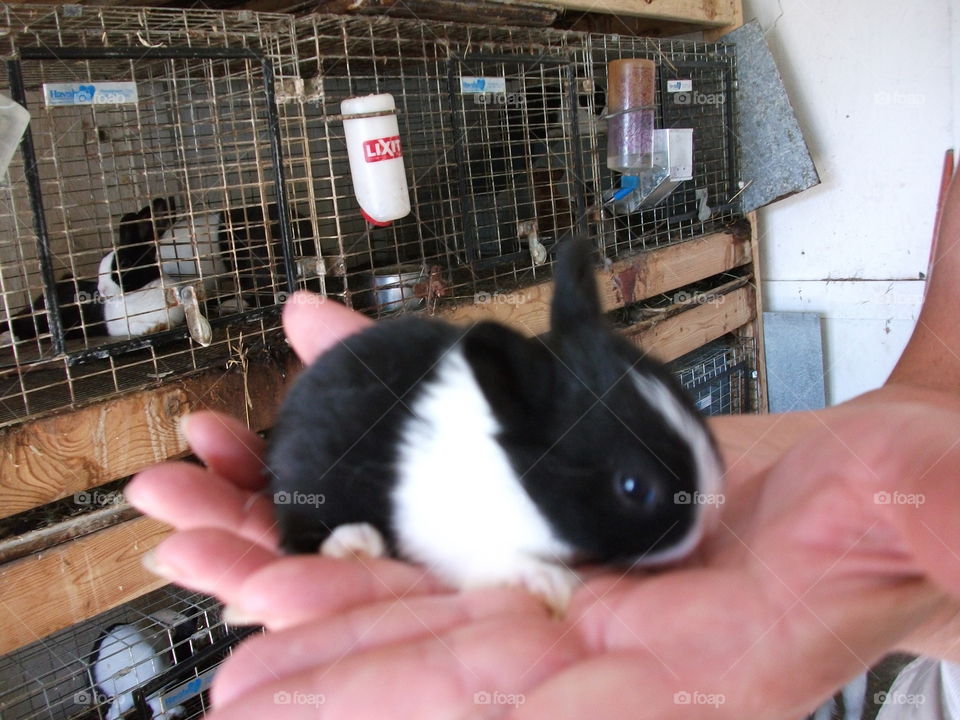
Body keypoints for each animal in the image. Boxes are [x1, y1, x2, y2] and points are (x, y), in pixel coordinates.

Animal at [99, 198, 185, 338]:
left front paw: (162, 325)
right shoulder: (117, 328)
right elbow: (132, 327)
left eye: (125, 264)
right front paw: (151, 328)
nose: (101, 289)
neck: (137, 296)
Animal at [266, 235, 724, 614]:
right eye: (634, 487)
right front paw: (552, 584)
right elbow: (505, 563)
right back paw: (358, 541)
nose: (707, 523)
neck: (512, 467)